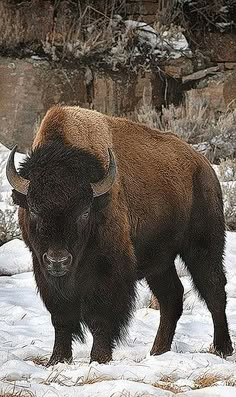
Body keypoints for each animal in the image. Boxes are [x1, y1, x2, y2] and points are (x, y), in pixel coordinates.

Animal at [6, 106, 232, 366]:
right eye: (33, 209)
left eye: (85, 211)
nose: (58, 260)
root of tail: (203, 166)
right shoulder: (42, 269)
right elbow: (61, 318)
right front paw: (57, 360)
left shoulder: (109, 270)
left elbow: (100, 318)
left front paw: (99, 358)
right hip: (159, 263)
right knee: (171, 297)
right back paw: (157, 351)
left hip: (203, 247)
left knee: (214, 291)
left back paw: (222, 348)